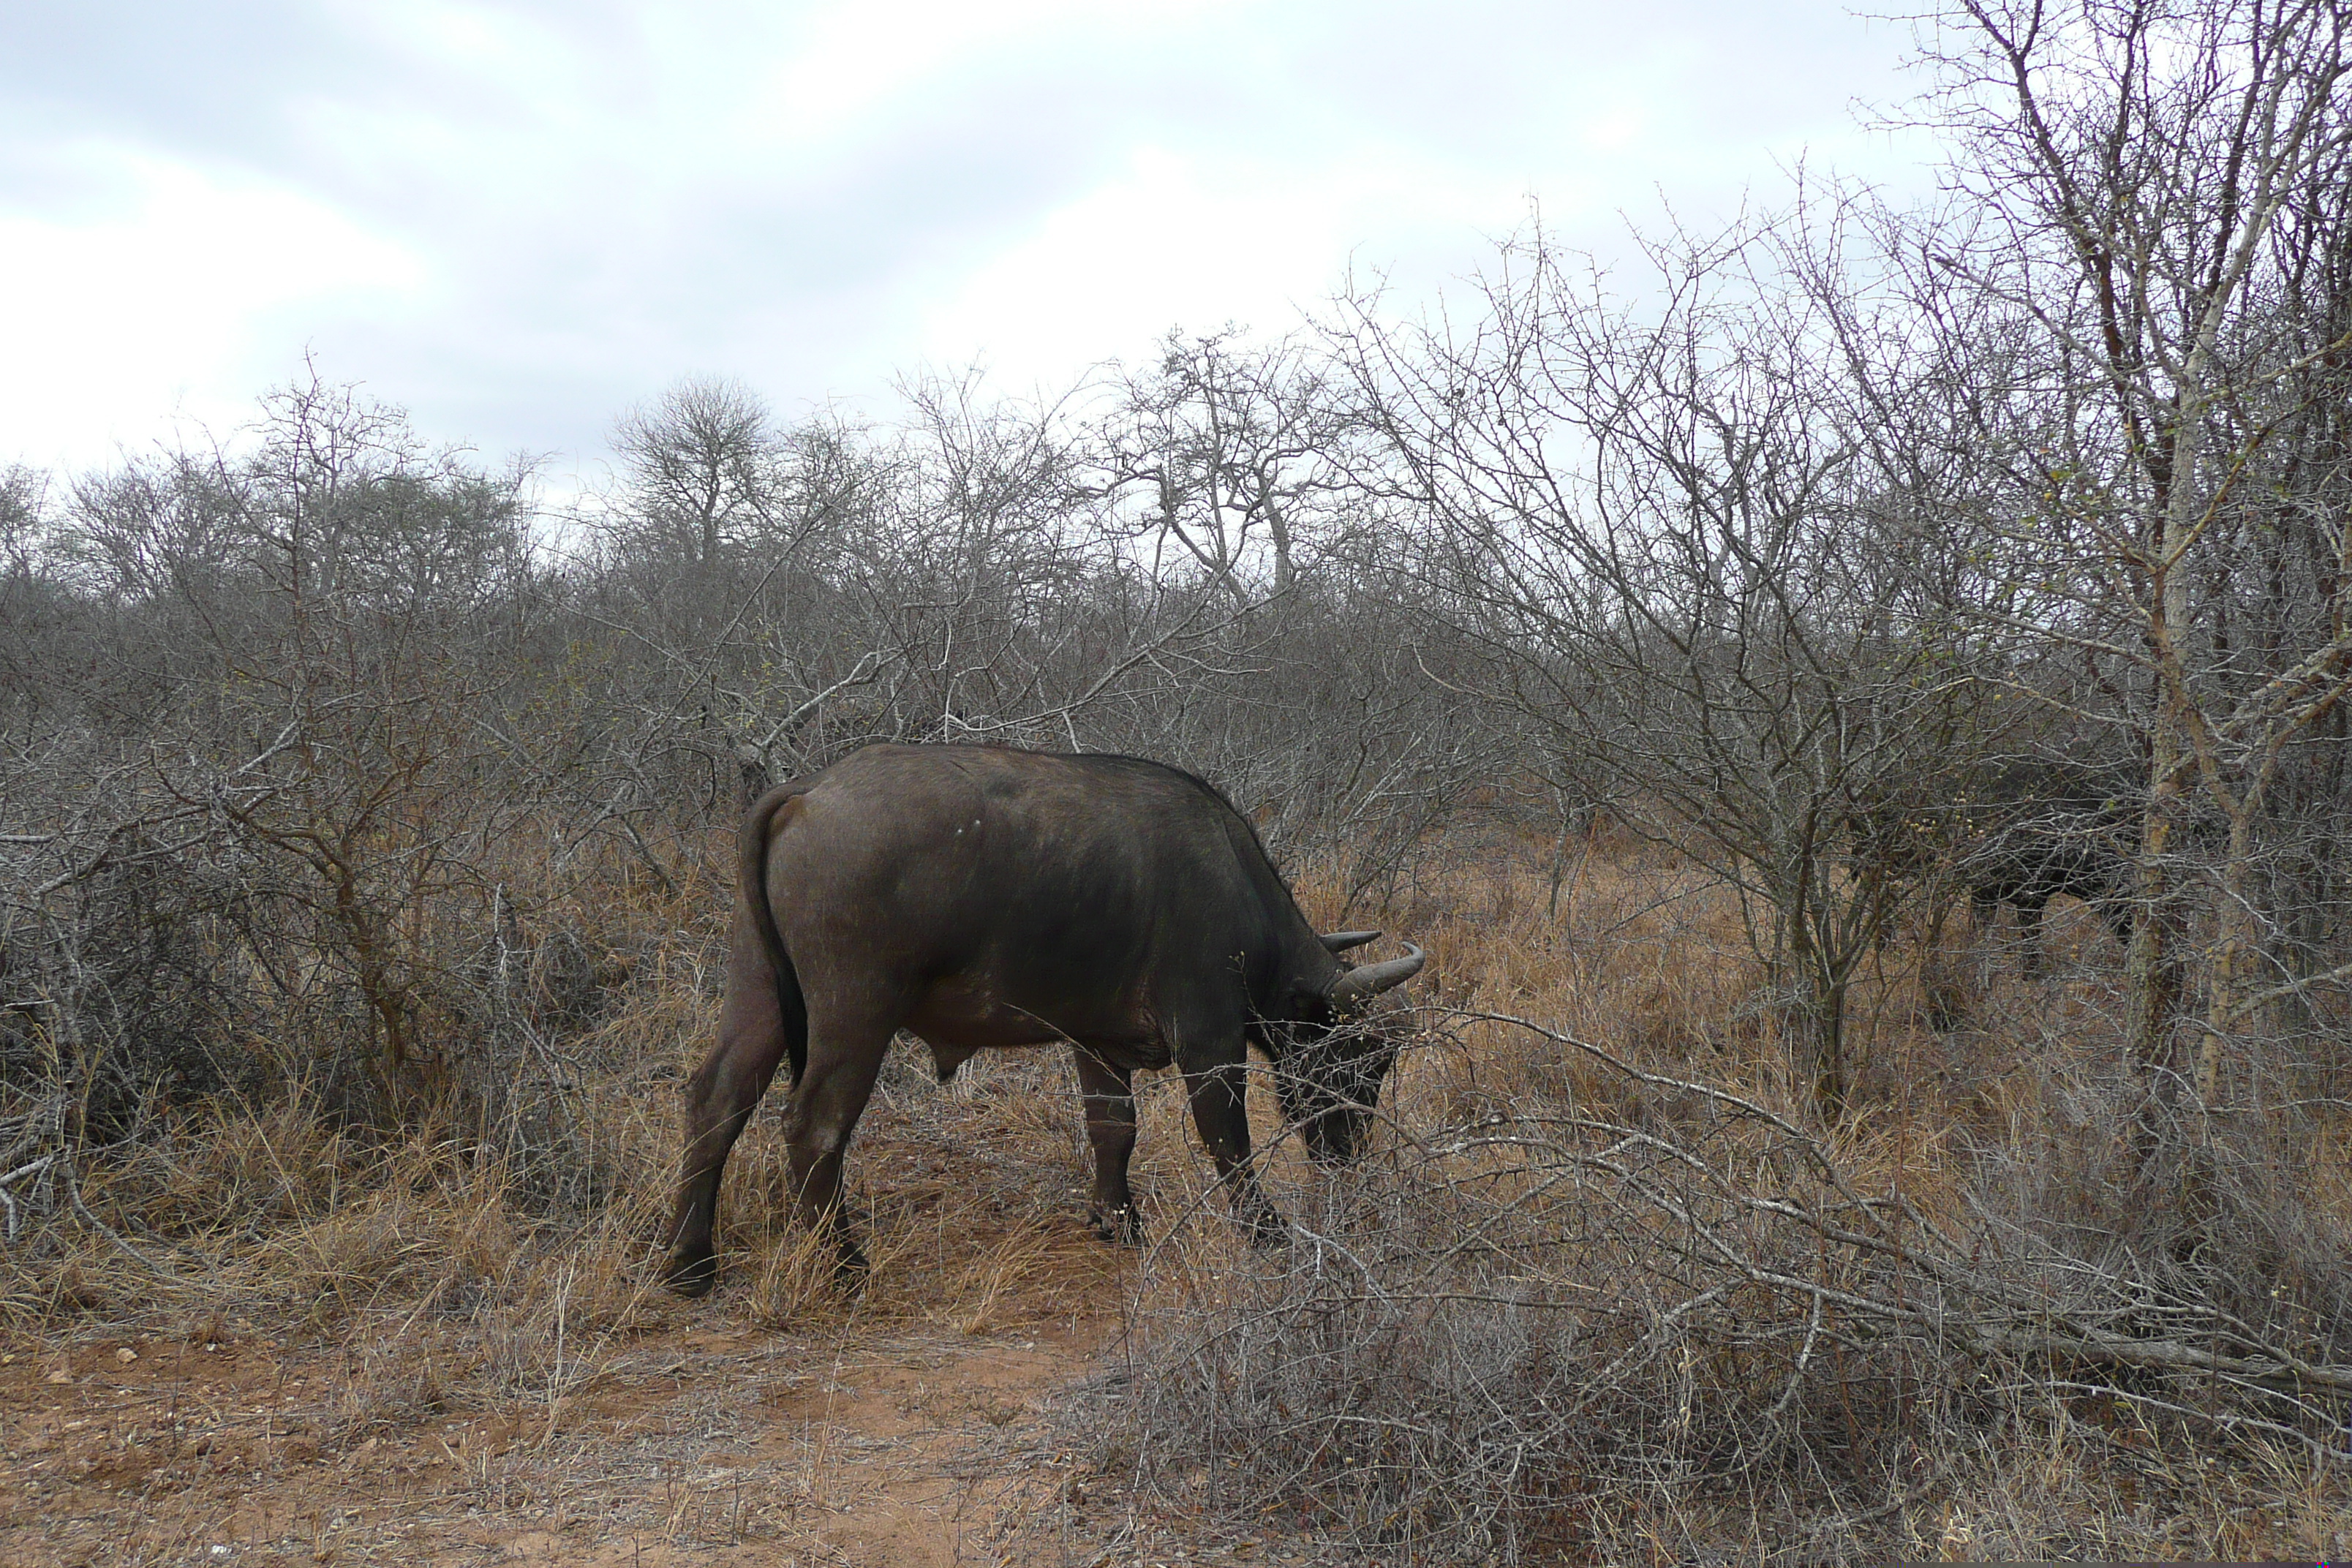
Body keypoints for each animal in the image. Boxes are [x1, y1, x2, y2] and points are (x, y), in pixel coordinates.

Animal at [668, 742, 1430, 1297]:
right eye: (1361, 1058)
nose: (1346, 1156)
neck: (1237, 888)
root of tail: (808, 792)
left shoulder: (1097, 1042)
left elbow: (1113, 1128)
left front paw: (1117, 1220)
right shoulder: (1208, 1038)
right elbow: (1227, 1138)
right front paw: (1267, 1231)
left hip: (758, 993)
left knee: (718, 1097)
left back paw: (690, 1262)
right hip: (855, 1014)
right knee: (814, 1124)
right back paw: (845, 1265)